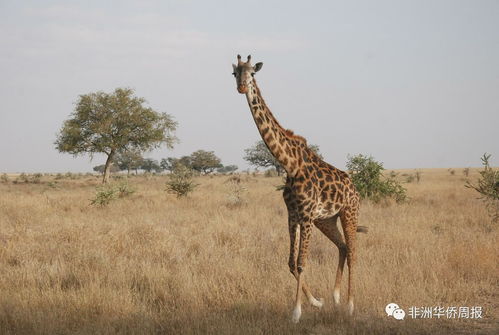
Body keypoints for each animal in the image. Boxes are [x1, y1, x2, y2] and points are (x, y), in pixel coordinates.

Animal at [232, 54, 370, 322]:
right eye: (235, 73)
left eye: (253, 73)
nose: (242, 87)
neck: (289, 163)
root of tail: (354, 188)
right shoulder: (293, 215)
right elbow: (290, 263)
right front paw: (316, 302)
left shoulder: (305, 216)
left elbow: (301, 263)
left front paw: (296, 312)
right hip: (326, 220)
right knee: (342, 246)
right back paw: (336, 297)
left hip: (349, 212)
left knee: (353, 252)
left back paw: (350, 305)